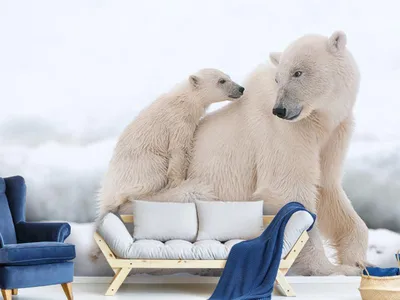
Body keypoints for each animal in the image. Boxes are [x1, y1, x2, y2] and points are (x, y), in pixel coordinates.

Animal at [142, 31, 368, 276]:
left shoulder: (333, 135)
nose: (280, 110)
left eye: (298, 72)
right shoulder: (283, 134)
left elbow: (327, 189)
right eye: (278, 78)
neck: (317, 121)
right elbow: (286, 190)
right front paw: (332, 268)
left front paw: (358, 261)